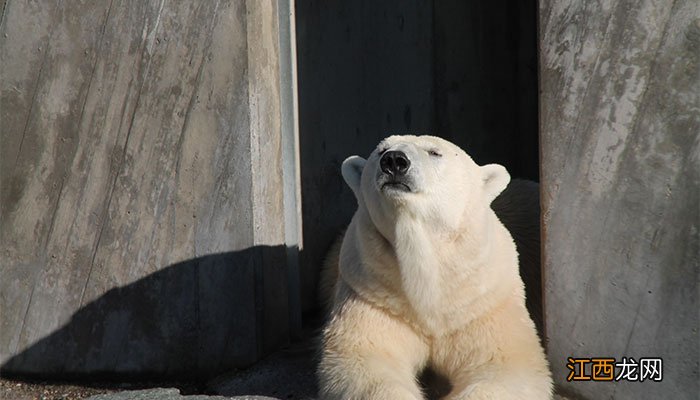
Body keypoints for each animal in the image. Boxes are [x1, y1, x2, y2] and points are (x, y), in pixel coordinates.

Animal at [318, 135, 552, 400]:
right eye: (381, 151)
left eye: (434, 152)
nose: (394, 160)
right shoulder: (374, 294)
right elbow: (365, 359)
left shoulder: (479, 305)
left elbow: (504, 365)